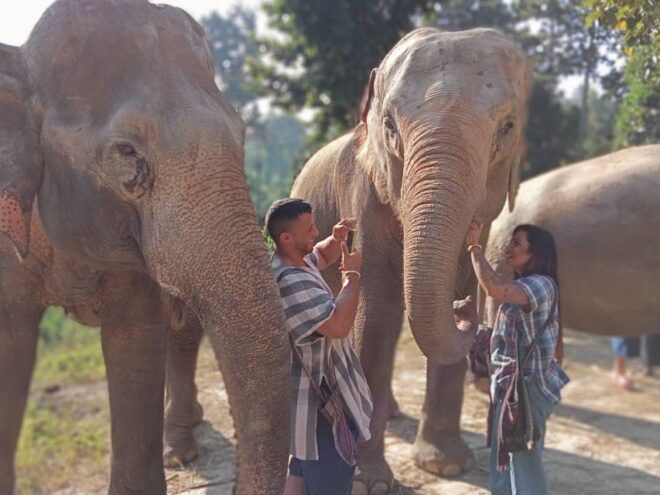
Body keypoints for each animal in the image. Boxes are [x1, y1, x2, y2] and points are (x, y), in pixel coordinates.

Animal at [0, 1, 289, 494]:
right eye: (126, 151)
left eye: (242, 135)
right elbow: (10, 347)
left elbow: (136, 340)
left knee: (183, 328)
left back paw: (180, 447)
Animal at [290, 27, 530, 492]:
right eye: (389, 128)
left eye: (507, 127)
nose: (464, 307)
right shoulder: (365, 192)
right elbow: (376, 312)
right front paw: (368, 483)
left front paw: (447, 467)